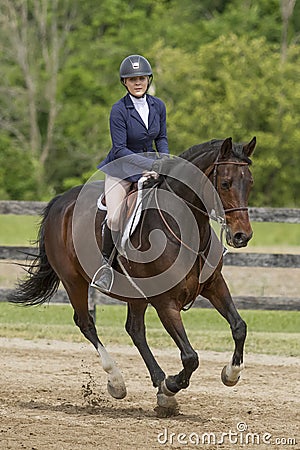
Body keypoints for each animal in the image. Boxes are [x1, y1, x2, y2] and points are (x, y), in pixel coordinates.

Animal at [8, 135, 255, 416]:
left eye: (249, 182)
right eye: (225, 183)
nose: (242, 236)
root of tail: (61, 201)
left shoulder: (214, 285)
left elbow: (239, 327)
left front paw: (231, 374)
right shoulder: (165, 302)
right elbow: (190, 357)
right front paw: (172, 385)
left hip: (134, 294)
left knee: (135, 329)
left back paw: (159, 384)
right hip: (74, 282)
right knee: (86, 323)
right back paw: (118, 381)